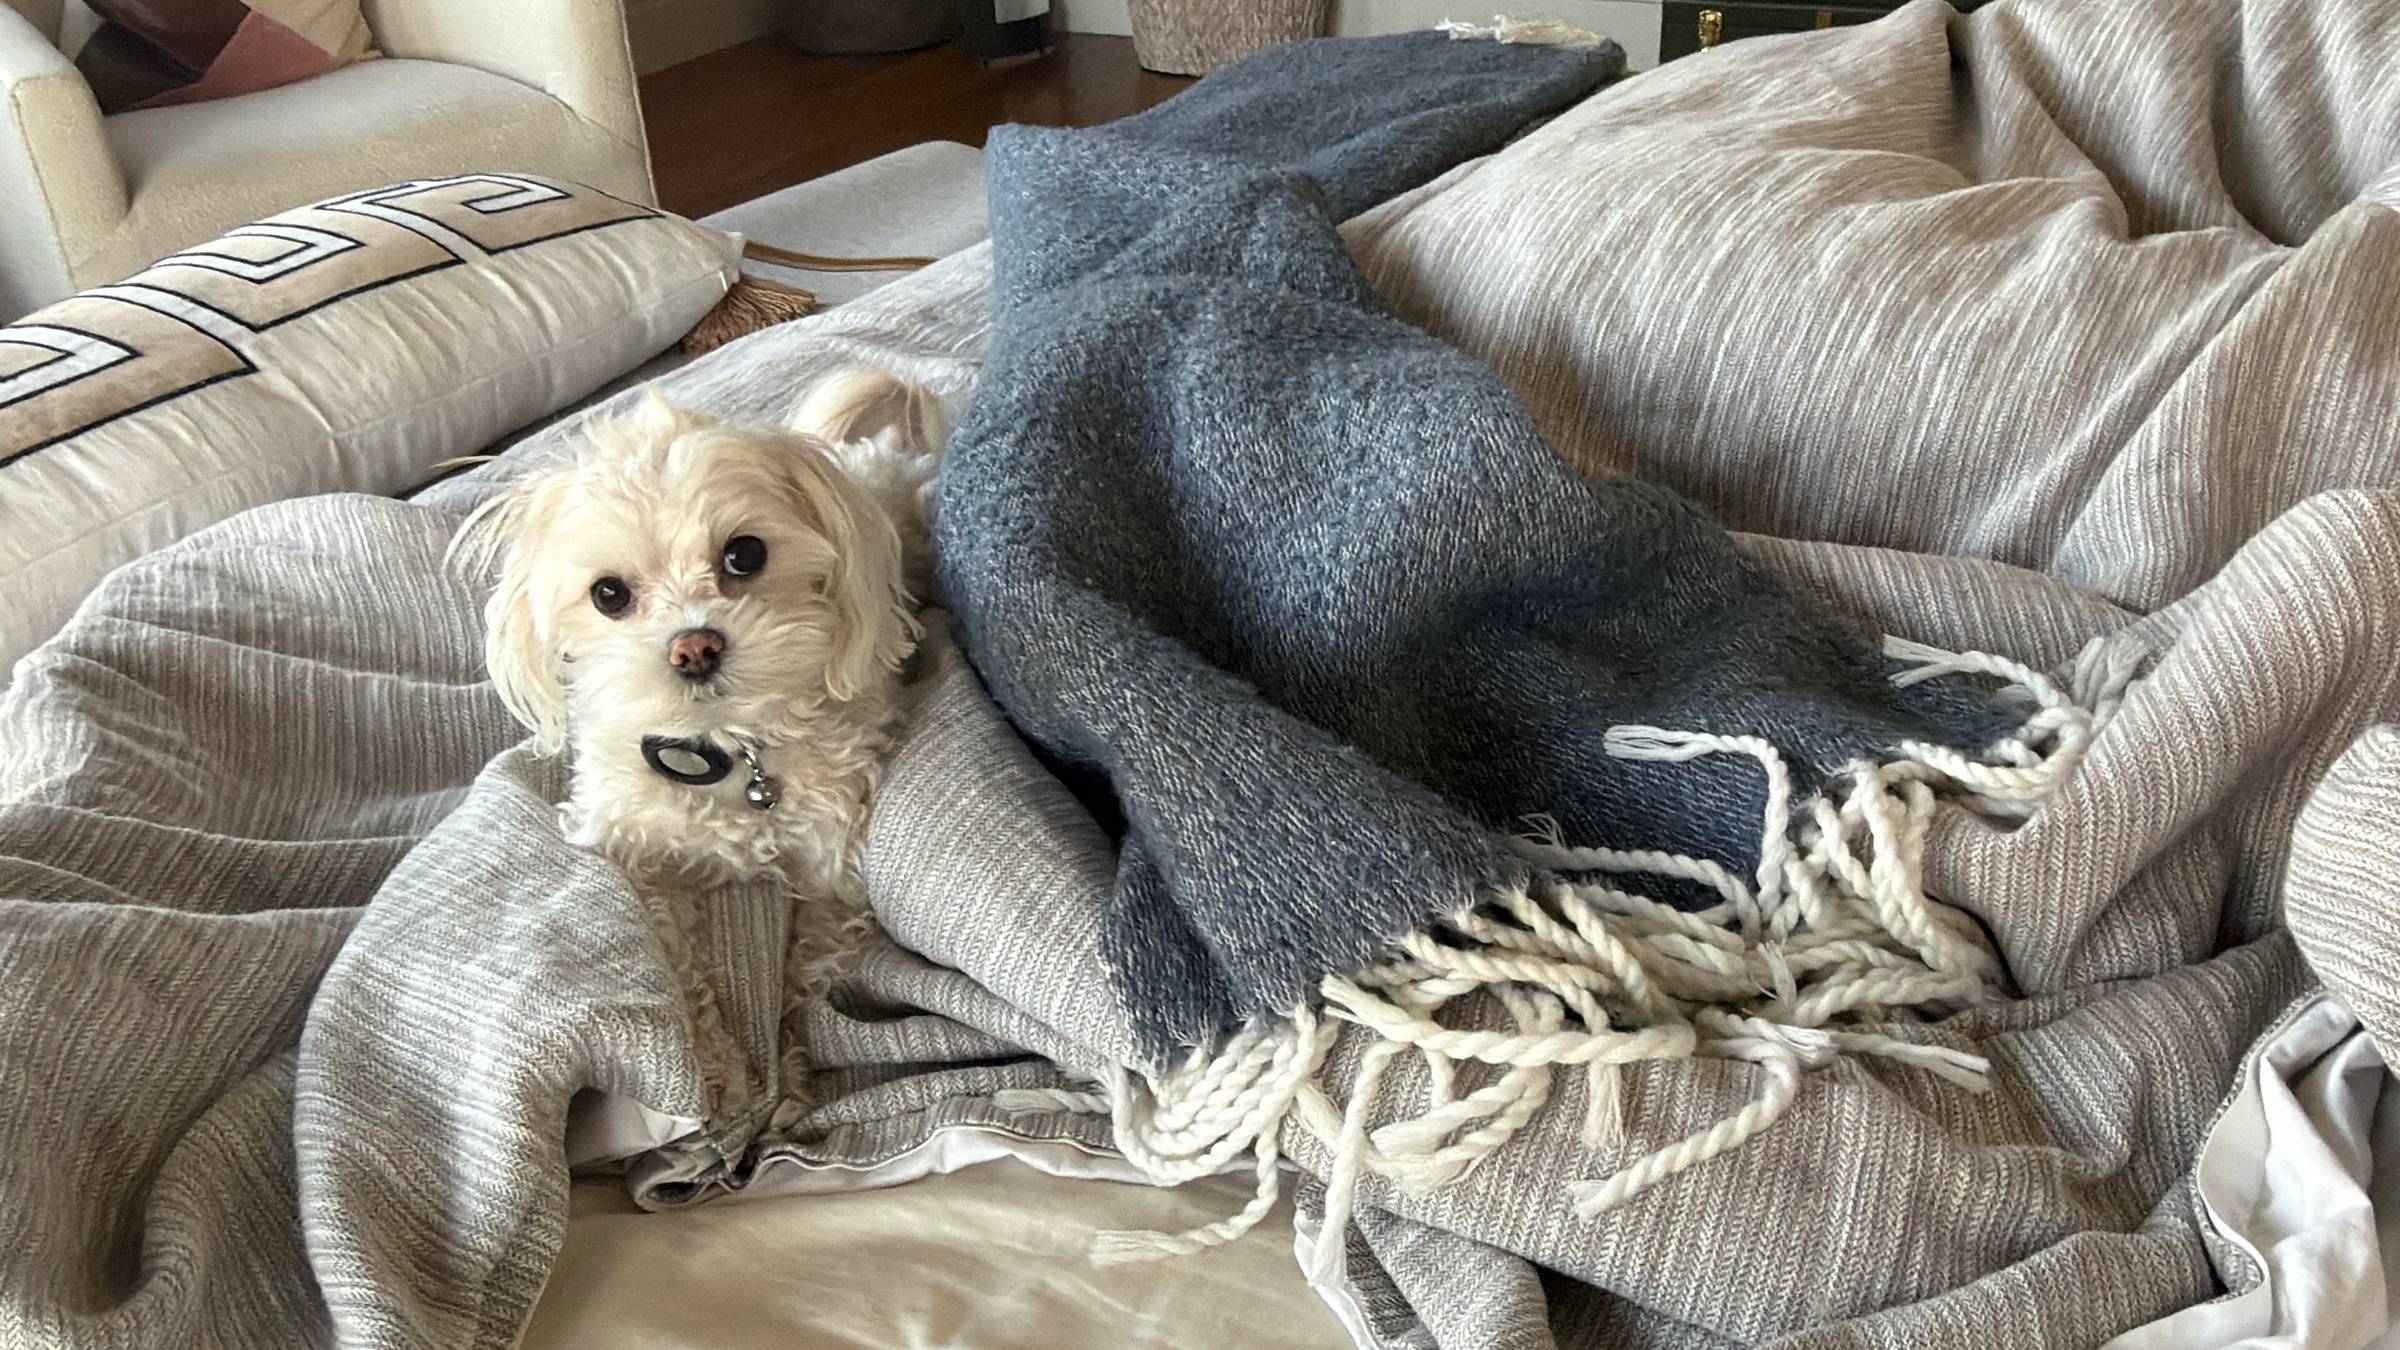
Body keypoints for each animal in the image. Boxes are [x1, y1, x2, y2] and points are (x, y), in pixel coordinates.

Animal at [450, 370, 945, 1025]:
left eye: (745, 553)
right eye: (609, 594)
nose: (695, 648)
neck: (725, 748)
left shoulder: (832, 870)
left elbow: (805, 982)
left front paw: (789, 1053)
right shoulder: (638, 858)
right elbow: (678, 974)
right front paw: (722, 1057)